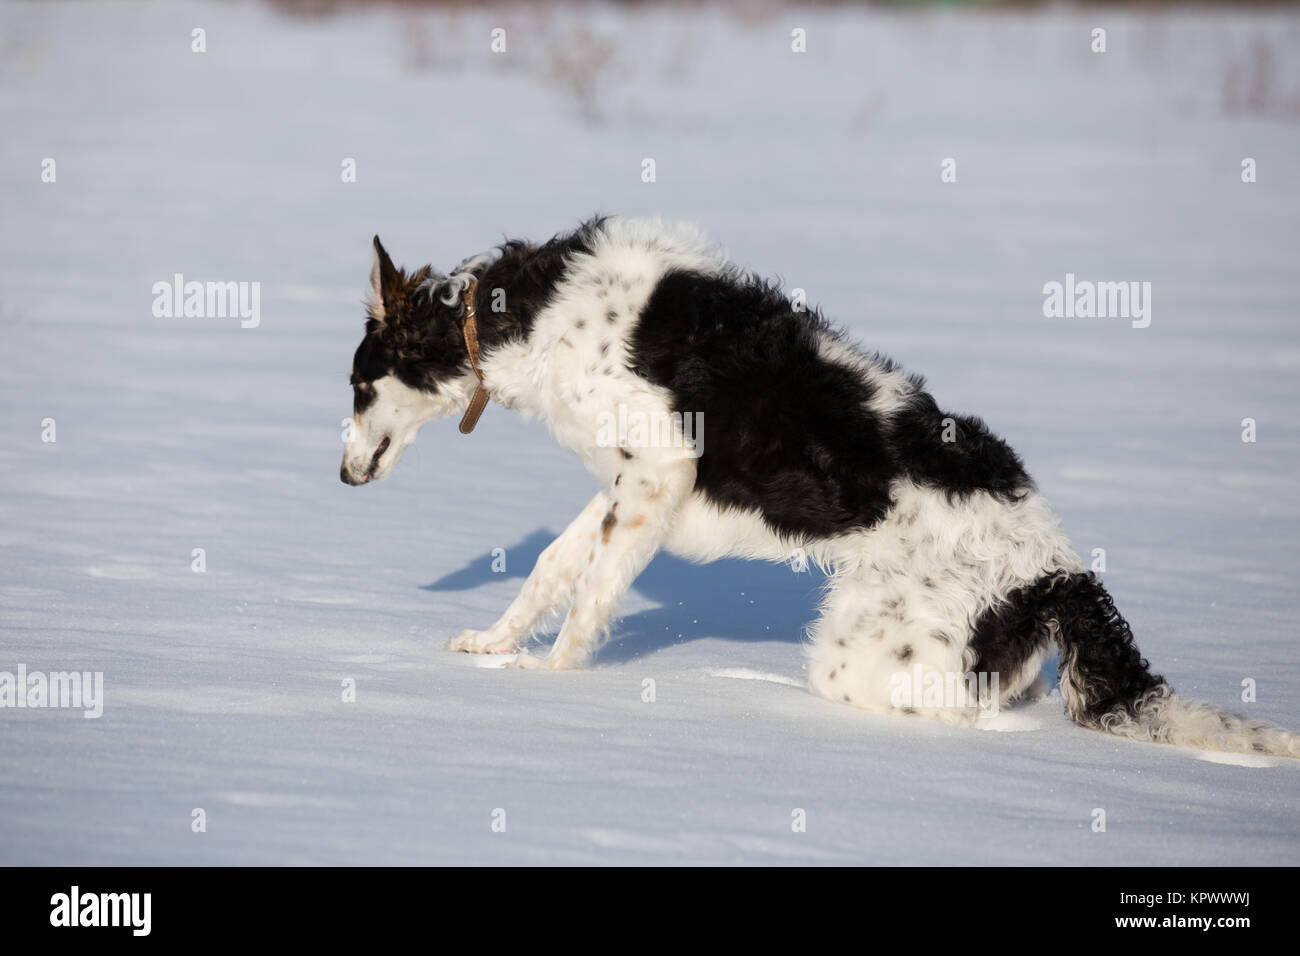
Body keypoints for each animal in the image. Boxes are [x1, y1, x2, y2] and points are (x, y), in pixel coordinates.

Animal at [340, 217, 1294, 764]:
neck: (519, 313)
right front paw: (493, 650)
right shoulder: (626, 482)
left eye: (354, 384)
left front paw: (547, 687)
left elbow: (586, 604)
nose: (342, 477)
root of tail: (1056, 568)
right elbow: (551, 572)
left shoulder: (657, 470)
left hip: (863, 650)